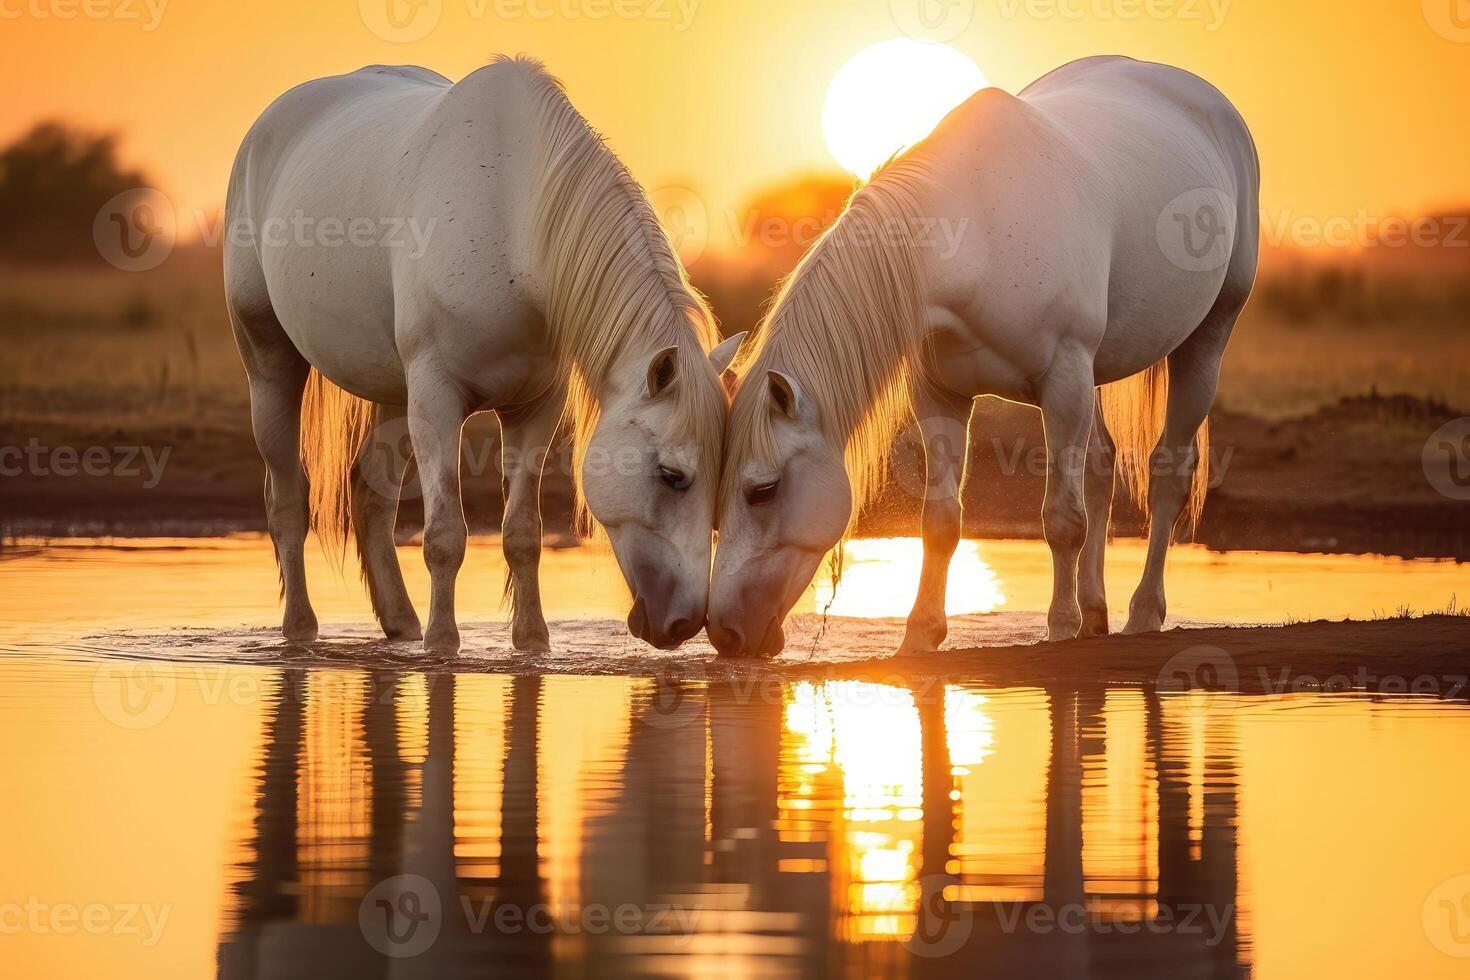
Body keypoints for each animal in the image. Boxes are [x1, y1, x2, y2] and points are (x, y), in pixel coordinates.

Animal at [223, 53, 740, 652]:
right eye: (672, 475)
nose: (683, 623)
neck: (510, 221)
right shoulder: (438, 400)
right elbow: (445, 533)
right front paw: (443, 643)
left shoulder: (535, 407)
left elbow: (523, 534)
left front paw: (532, 641)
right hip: (271, 364)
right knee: (287, 501)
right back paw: (301, 629)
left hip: (396, 394)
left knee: (371, 494)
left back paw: (400, 624)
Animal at [705, 55, 1258, 658]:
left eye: (763, 490)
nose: (726, 633)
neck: (980, 235)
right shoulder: (941, 394)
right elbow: (941, 519)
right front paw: (920, 636)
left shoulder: (1063, 380)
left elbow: (1062, 519)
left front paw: (1058, 628)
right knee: (1101, 466)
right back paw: (1096, 614)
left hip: (1207, 336)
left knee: (1168, 474)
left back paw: (1141, 613)